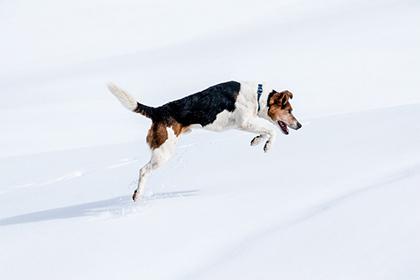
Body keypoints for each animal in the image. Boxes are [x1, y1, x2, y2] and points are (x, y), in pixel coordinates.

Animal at [106, 80, 300, 200]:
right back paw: (138, 194)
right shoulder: (245, 122)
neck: (259, 96)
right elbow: (272, 131)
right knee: (143, 170)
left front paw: (257, 140)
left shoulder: (244, 124)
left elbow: (265, 132)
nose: (299, 125)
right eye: (289, 110)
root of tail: (158, 110)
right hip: (163, 152)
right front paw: (267, 146)